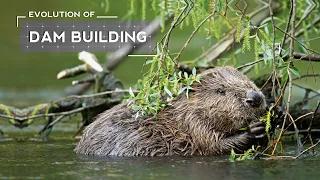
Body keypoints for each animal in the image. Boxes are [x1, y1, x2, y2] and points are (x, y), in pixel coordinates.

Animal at [75, 66, 268, 156]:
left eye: (248, 81)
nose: (255, 98)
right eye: (220, 90)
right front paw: (253, 130)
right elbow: (214, 146)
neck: (179, 116)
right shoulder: (194, 125)